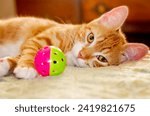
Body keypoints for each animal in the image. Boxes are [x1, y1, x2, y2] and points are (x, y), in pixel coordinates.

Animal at [0, 5, 148, 79]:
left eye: (102, 59)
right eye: (91, 37)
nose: (82, 54)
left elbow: (17, 57)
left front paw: (6, 64)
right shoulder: (39, 38)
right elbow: (30, 50)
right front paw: (27, 66)